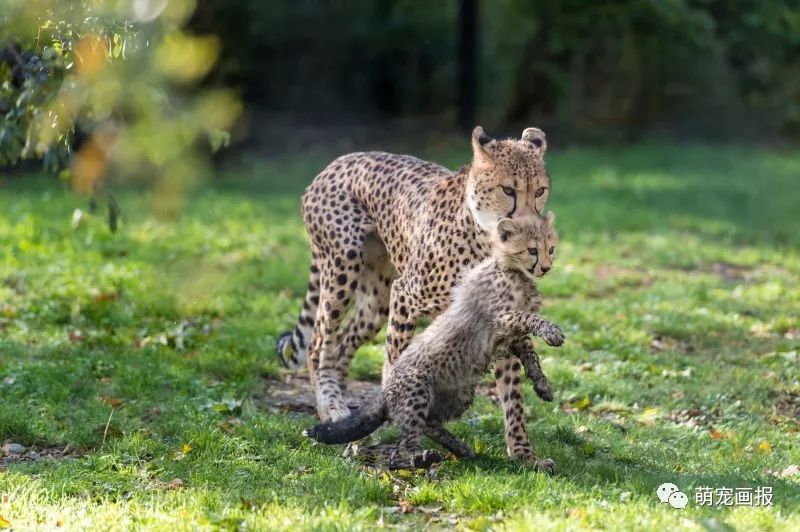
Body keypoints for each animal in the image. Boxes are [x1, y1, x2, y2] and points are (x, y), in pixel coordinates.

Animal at [278, 127, 552, 464]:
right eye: (508, 190)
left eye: (539, 191)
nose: (529, 227)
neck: (487, 239)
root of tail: (336, 162)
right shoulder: (405, 297)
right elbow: (394, 363)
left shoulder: (499, 320)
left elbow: (512, 390)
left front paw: (524, 453)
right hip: (344, 266)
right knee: (318, 345)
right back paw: (333, 409)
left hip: (377, 301)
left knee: (341, 345)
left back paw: (352, 422)